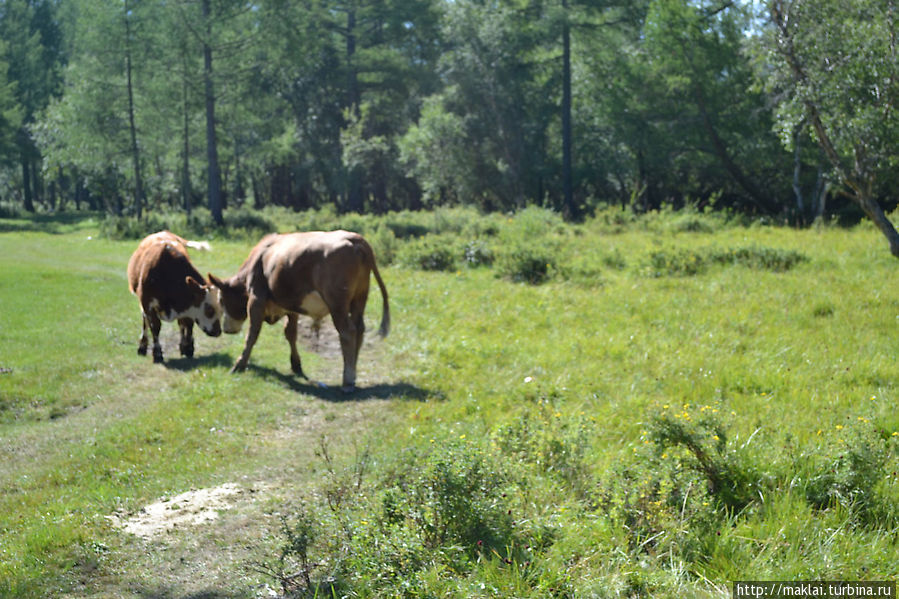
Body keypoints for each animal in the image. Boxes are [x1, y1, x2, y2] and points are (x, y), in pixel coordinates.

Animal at [126, 231, 223, 364]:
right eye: (209, 309)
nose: (218, 332)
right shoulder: (147, 303)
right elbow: (155, 327)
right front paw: (157, 354)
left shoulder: (188, 306)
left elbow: (187, 324)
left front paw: (188, 347)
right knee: (145, 321)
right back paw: (142, 347)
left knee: (181, 324)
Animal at [211, 230, 394, 394]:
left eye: (221, 300)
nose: (226, 329)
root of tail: (355, 238)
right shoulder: (291, 306)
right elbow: (291, 333)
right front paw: (296, 365)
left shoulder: (256, 299)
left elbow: (252, 334)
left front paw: (240, 364)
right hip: (359, 299)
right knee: (359, 329)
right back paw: (353, 373)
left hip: (337, 304)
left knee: (348, 332)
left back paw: (347, 381)